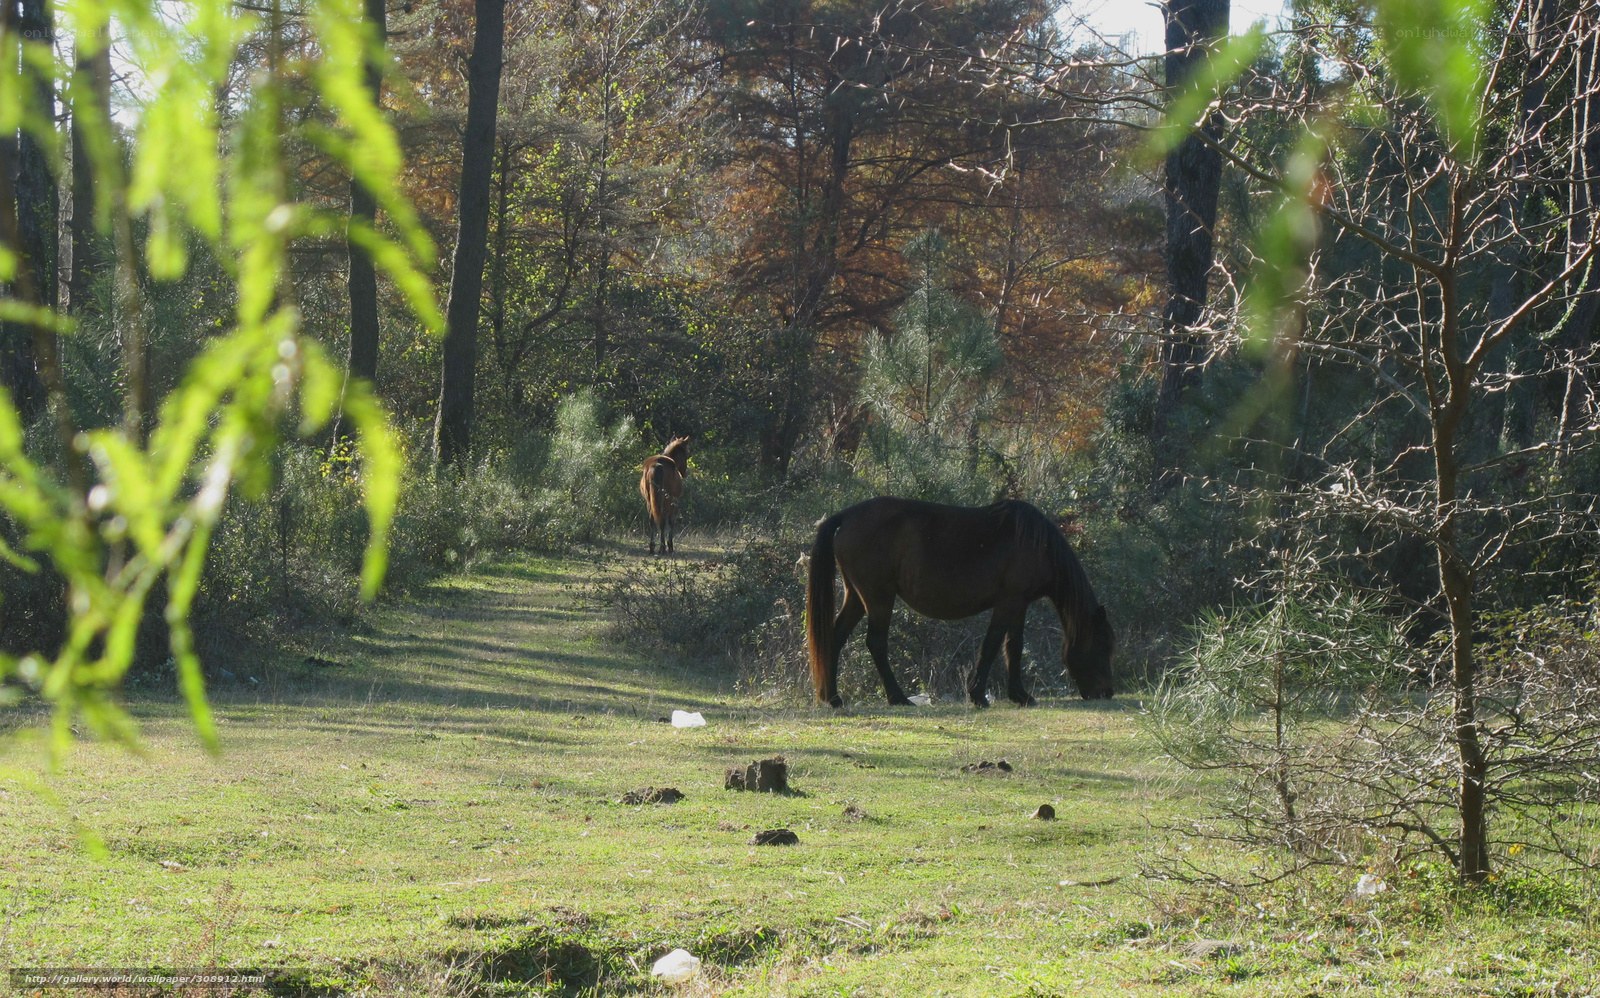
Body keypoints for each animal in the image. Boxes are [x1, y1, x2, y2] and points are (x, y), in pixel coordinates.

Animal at [805, 496, 1114, 708]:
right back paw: (897, 697)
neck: (1036, 543)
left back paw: (833, 698)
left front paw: (1020, 695)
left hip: (857, 597)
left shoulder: (1019, 604)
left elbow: (1014, 647)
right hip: (879, 598)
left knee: (835, 638)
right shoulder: (1008, 602)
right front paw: (978, 695)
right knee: (876, 643)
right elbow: (992, 646)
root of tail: (847, 515)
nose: (1106, 692)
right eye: (1101, 646)